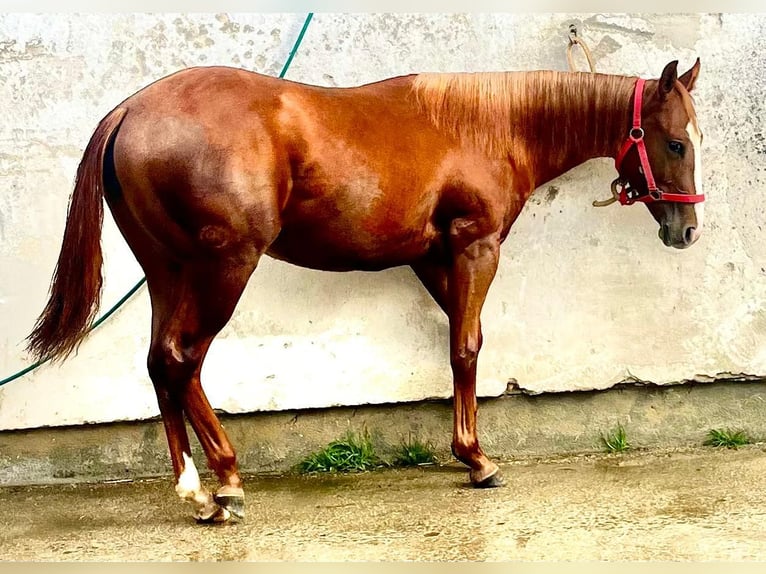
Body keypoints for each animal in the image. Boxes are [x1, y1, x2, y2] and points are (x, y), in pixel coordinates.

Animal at [26, 58, 704, 523]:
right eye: (675, 141)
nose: (687, 229)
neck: (485, 125)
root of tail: (131, 111)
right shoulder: (474, 248)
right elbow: (467, 349)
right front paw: (478, 460)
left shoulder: (431, 259)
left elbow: (458, 344)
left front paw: (467, 452)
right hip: (224, 268)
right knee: (182, 359)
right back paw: (226, 481)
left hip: (167, 271)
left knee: (160, 362)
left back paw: (195, 489)